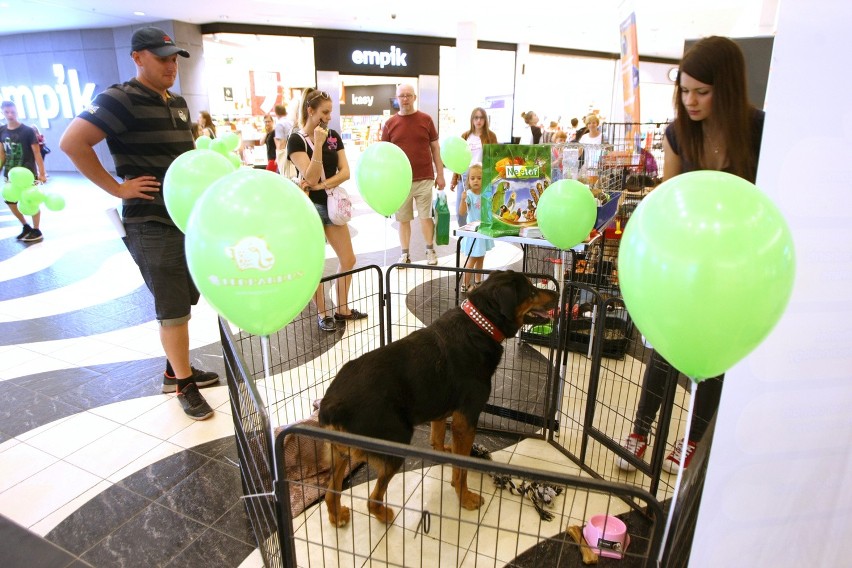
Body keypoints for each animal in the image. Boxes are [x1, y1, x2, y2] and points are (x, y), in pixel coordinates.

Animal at [318, 272, 560, 528]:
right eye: (531, 291)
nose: (558, 293)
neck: (481, 325)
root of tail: (331, 405)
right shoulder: (466, 419)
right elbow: (462, 469)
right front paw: (465, 498)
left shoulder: (442, 413)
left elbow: (438, 443)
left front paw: (448, 456)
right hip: (394, 442)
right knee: (372, 500)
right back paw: (384, 515)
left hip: (339, 452)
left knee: (330, 492)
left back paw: (337, 515)